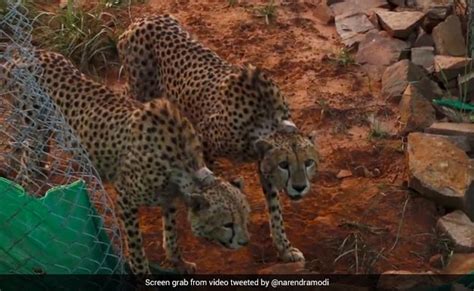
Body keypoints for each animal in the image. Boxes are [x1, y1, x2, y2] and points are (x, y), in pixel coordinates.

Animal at [1, 50, 252, 276]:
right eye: (227, 224)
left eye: (245, 217)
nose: (245, 242)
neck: (181, 163)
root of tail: (26, 55)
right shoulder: (125, 199)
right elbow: (136, 245)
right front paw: (143, 274)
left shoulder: (169, 198)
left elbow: (171, 235)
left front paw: (178, 262)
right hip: (35, 127)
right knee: (25, 158)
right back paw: (31, 197)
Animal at [117, 14, 320, 264]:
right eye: (284, 164)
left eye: (308, 162)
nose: (300, 187)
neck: (266, 118)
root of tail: (143, 18)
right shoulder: (204, 140)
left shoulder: (261, 158)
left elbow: (274, 207)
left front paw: (284, 247)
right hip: (139, 90)